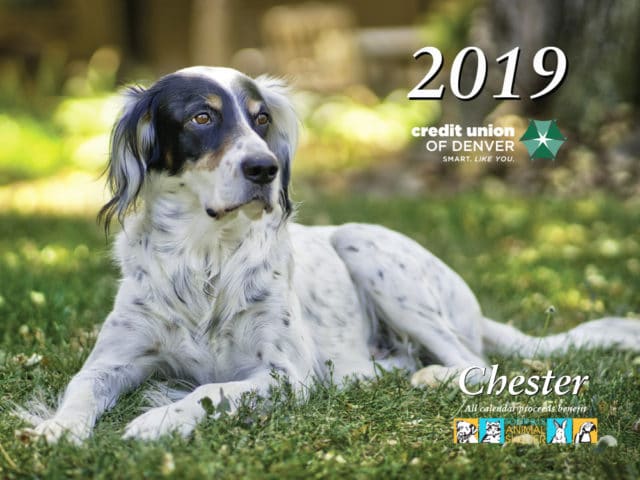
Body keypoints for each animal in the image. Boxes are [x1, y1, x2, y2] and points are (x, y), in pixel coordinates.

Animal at [13, 66, 640, 442]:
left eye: (262, 119)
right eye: (202, 116)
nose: (264, 168)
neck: (205, 257)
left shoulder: (286, 373)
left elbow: (214, 391)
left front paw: (158, 419)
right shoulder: (114, 358)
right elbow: (80, 389)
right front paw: (56, 431)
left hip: (364, 246)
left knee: (476, 365)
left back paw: (432, 377)